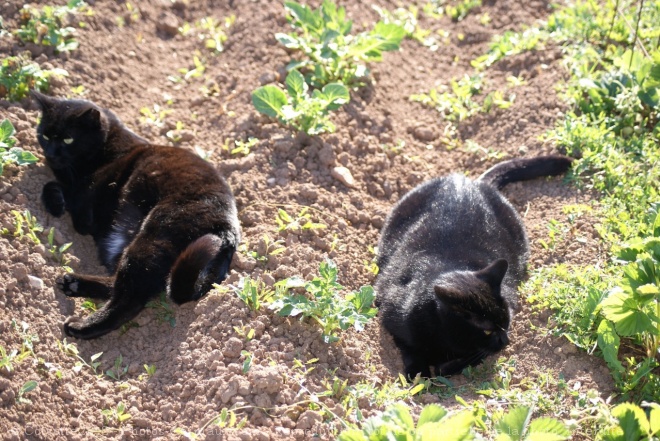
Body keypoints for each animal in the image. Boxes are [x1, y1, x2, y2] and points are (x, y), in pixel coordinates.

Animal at [32, 92, 241, 340]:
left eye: (68, 140)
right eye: (45, 135)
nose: (50, 154)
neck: (106, 148)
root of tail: (228, 229)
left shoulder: (86, 205)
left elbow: (60, 191)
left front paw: (55, 202)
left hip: (154, 233)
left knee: (129, 298)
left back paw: (80, 326)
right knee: (121, 284)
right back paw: (73, 283)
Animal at [376, 154, 572, 374]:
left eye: (507, 321)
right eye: (486, 331)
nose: (506, 341)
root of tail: (472, 183)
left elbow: (461, 362)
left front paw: (444, 366)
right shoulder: (392, 313)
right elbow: (410, 350)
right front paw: (418, 372)